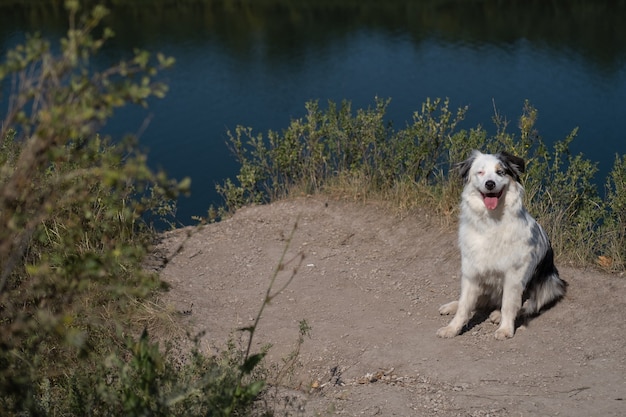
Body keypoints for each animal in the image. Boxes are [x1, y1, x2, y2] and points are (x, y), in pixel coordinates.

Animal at [434, 150, 564, 338]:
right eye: (480, 172)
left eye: (500, 172)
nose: (490, 184)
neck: (491, 221)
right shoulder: (471, 271)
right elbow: (465, 305)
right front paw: (452, 328)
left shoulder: (513, 274)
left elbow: (509, 305)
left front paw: (505, 329)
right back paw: (452, 306)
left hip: (551, 284)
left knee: (527, 304)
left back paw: (497, 314)